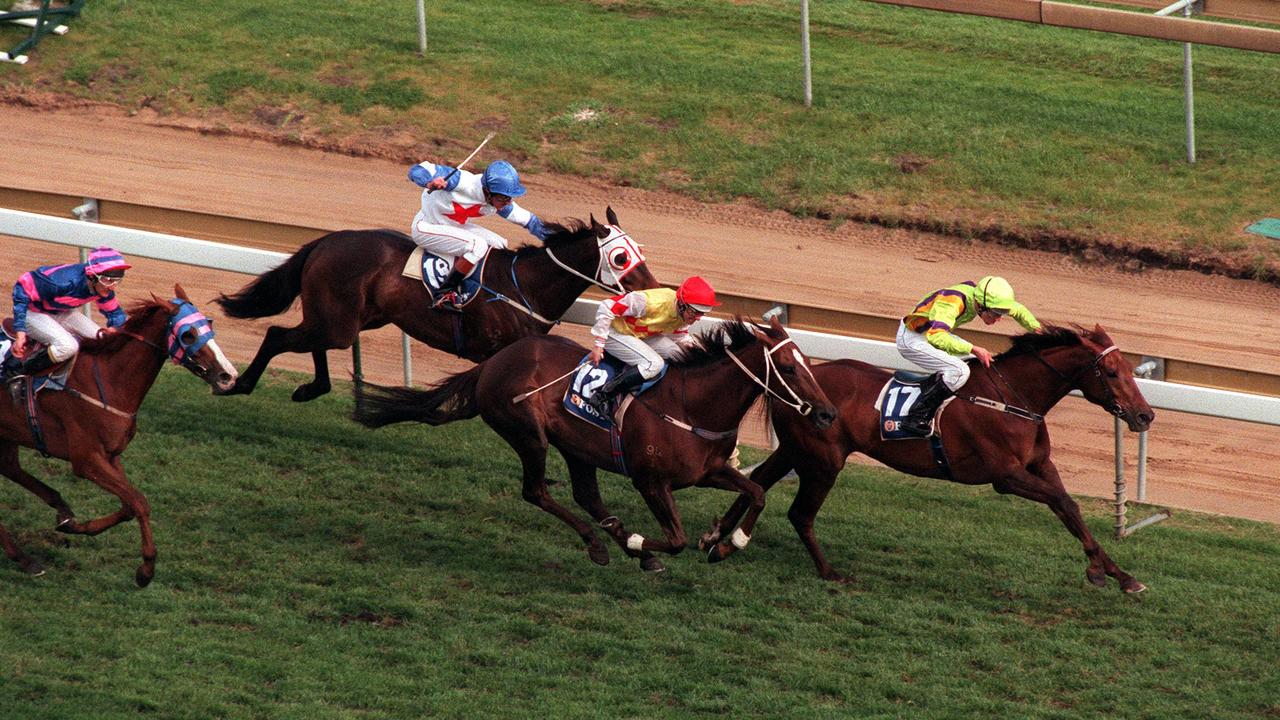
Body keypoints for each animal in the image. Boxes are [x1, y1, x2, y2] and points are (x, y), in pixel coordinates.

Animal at [0, 285, 238, 584]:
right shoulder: (86, 460)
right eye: (188, 334)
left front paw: (76, 525)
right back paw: (25, 556)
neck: (109, 379)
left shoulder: (111, 456)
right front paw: (146, 570)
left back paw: (50, 524)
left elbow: (128, 506)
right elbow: (140, 502)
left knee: (10, 467)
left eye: (209, 324)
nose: (228, 376)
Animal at [213, 207, 655, 399]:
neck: (524, 286)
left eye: (639, 249)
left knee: (312, 341)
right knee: (278, 334)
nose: (653, 287)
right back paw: (242, 384)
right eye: (620, 257)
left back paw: (312, 388)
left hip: (351, 318)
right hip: (338, 319)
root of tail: (325, 241)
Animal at [353, 319, 839, 571]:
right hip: (529, 435)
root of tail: (492, 362)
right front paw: (646, 544)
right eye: (789, 369)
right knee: (537, 491)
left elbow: (755, 492)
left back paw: (616, 540)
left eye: (809, 363)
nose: (827, 414)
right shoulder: (650, 481)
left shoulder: (710, 471)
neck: (693, 406)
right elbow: (676, 539)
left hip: (577, 449)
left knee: (586, 495)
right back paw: (605, 544)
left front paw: (724, 542)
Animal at [701, 324, 1162, 589]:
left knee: (759, 480)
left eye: (1132, 370)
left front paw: (1119, 575)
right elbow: (1064, 503)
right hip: (823, 459)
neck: (1013, 399)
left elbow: (1071, 510)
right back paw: (826, 571)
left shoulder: (1039, 465)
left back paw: (717, 538)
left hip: (798, 450)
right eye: (1112, 372)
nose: (1145, 414)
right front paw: (1103, 572)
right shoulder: (1006, 476)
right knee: (799, 512)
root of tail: (797, 384)